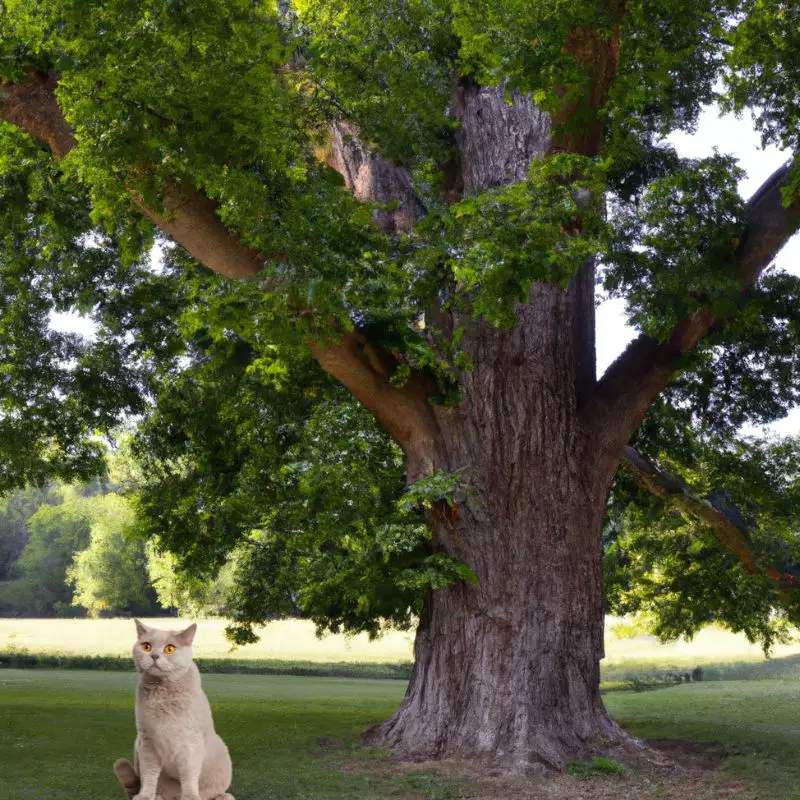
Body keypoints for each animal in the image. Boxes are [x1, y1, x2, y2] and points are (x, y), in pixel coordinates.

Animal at [114, 620, 236, 800]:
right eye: (146, 646)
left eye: (169, 649)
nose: (154, 655)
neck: (162, 692)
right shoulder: (147, 741)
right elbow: (149, 774)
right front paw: (146, 795)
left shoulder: (189, 742)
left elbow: (188, 773)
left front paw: (191, 796)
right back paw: (158, 796)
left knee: (211, 792)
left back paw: (222, 797)